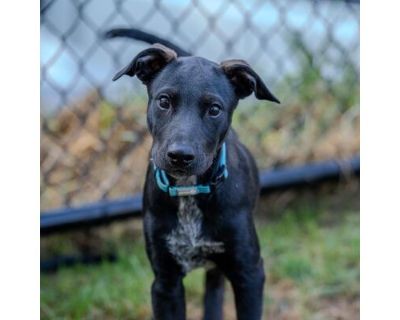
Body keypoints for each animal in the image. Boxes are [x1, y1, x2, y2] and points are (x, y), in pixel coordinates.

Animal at [109, 29, 278, 318]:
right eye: (164, 101)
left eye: (214, 109)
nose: (180, 155)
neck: (188, 190)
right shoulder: (165, 283)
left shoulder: (250, 273)